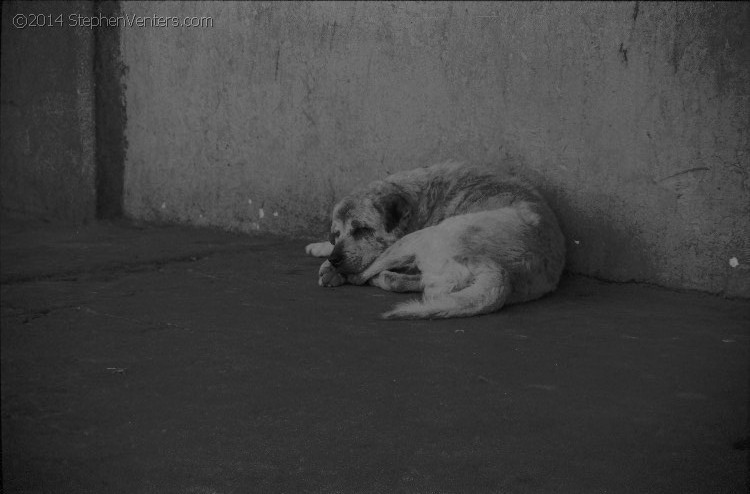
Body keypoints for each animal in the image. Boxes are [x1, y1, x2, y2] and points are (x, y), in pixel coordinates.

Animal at [306, 160, 564, 318]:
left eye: (361, 230)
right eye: (336, 234)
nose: (335, 258)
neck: (417, 200)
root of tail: (501, 274)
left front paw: (329, 265)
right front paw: (320, 246)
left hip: (421, 238)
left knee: (364, 276)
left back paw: (344, 273)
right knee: (413, 285)